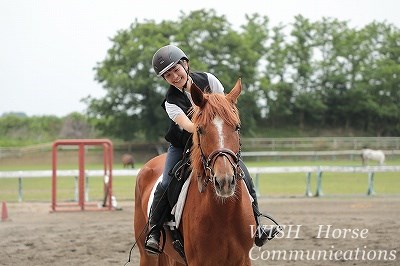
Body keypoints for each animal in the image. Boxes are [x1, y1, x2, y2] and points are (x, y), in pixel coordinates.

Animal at [133, 79, 255, 266]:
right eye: (200, 129)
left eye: (237, 127)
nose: (224, 181)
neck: (224, 214)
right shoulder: (198, 261)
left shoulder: (243, 259)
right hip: (147, 256)